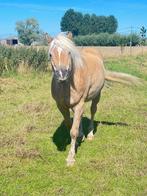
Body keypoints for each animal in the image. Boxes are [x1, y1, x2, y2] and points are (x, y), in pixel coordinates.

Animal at [46, 32, 140, 167]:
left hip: (97, 95)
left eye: (69, 52)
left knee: (92, 111)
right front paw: (77, 139)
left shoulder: (79, 103)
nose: (62, 74)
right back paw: (82, 135)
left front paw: (71, 158)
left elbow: (73, 131)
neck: (67, 85)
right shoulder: (61, 106)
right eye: (50, 54)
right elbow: (70, 125)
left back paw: (89, 134)